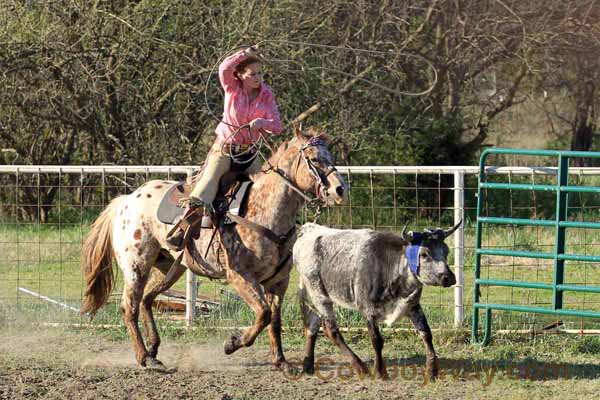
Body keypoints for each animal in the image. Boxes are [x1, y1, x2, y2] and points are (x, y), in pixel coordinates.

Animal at [79, 126, 346, 372]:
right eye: (314, 159)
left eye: (330, 156)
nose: (340, 189)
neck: (264, 211)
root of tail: (126, 200)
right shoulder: (240, 276)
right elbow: (263, 314)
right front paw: (232, 343)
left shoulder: (278, 281)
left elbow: (275, 319)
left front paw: (281, 362)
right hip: (136, 265)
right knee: (129, 307)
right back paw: (145, 357)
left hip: (168, 267)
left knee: (146, 300)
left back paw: (154, 349)